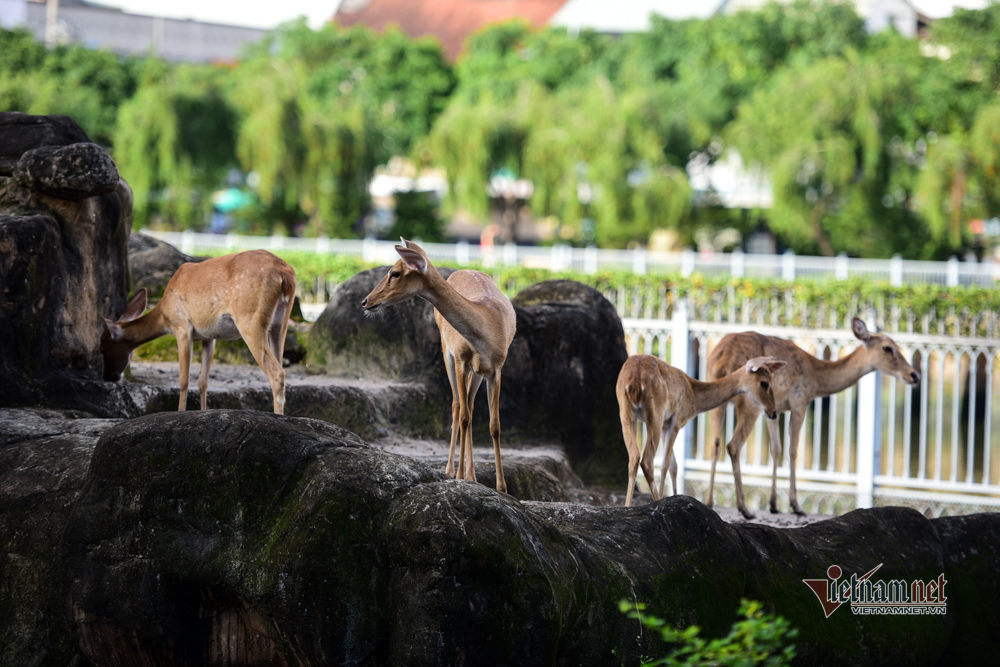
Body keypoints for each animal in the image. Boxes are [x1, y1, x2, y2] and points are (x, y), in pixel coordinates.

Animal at [99, 250, 298, 414]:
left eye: (103, 348)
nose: (108, 376)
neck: (164, 314)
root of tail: (285, 275)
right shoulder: (209, 337)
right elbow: (203, 381)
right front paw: (203, 412)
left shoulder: (181, 327)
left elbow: (183, 380)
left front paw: (180, 413)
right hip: (280, 323)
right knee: (280, 363)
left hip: (249, 318)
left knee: (277, 372)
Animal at [362, 237, 516, 494]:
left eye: (395, 273)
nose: (365, 301)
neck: (487, 327)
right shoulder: (461, 359)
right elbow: (462, 415)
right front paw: (460, 477)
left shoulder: (497, 368)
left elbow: (495, 425)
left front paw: (502, 488)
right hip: (447, 351)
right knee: (457, 406)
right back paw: (454, 471)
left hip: (476, 371)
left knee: (469, 406)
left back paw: (471, 474)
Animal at [612, 354, 784, 506]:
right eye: (764, 383)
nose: (774, 412)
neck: (694, 395)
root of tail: (634, 381)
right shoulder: (676, 420)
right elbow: (667, 464)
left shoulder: (666, 424)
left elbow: (674, 465)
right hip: (655, 414)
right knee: (647, 460)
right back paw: (655, 502)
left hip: (625, 413)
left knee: (634, 456)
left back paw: (627, 507)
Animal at [704, 320, 920, 520]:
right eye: (887, 348)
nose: (914, 375)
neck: (817, 379)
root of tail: (723, 360)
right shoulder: (800, 401)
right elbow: (793, 449)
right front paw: (796, 506)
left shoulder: (774, 409)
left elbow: (776, 448)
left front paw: (774, 505)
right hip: (750, 402)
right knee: (733, 445)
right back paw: (745, 509)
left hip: (719, 397)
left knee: (715, 444)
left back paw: (710, 503)